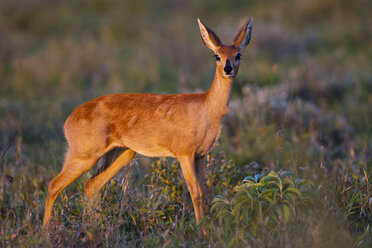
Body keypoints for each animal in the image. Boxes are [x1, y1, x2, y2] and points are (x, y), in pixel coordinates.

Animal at [42, 17, 253, 231]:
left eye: (238, 54)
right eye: (217, 56)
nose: (228, 69)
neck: (206, 108)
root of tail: (69, 119)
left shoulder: (200, 156)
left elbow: (206, 194)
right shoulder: (185, 155)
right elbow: (196, 194)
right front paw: (201, 230)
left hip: (121, 154)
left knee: (90, 185)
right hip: (83, 157)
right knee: (53, 186)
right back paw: (46, 231)